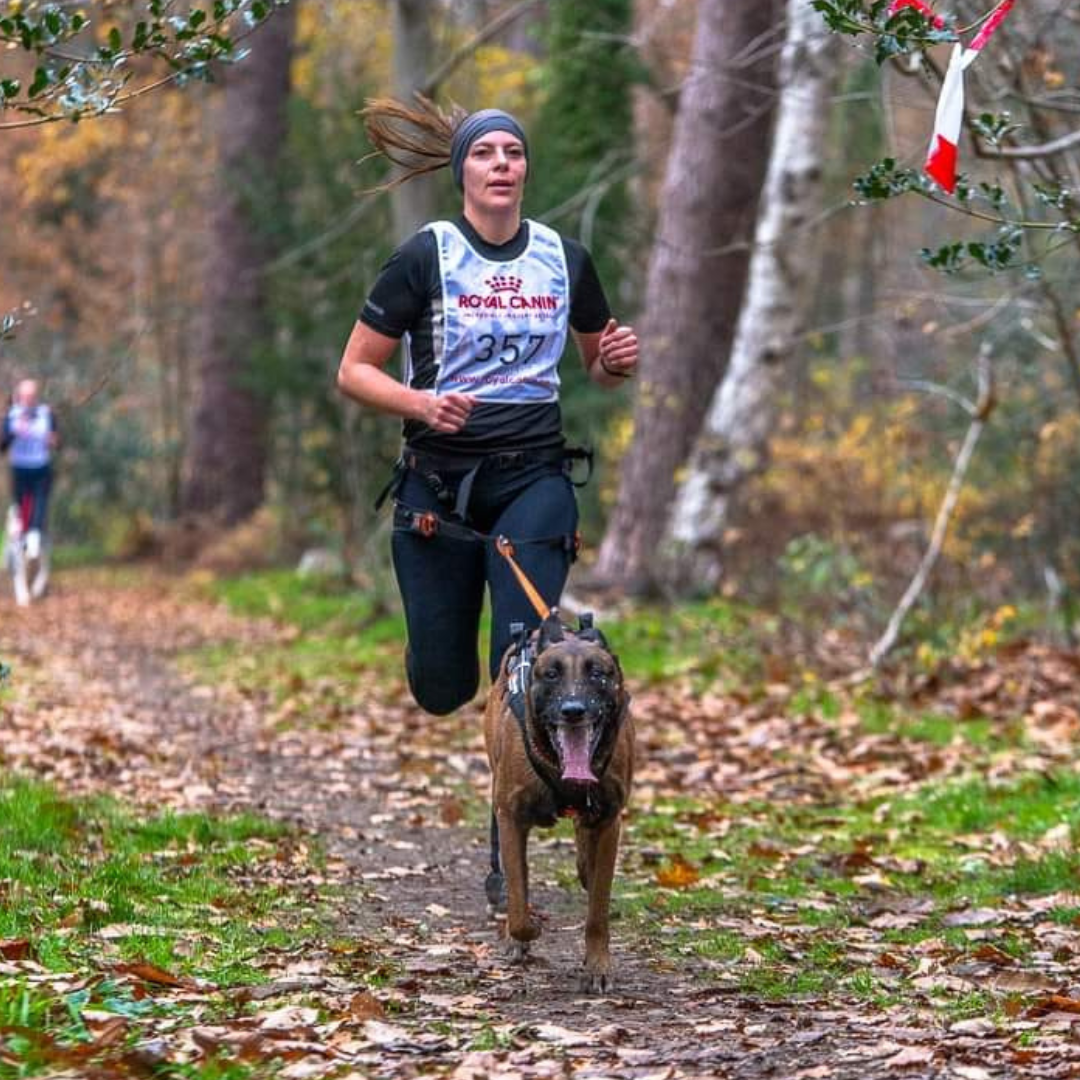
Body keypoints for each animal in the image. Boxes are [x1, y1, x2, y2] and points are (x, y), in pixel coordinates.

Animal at [483, 613, 630, 989]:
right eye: (551, 674)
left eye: (598, 673)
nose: (573, 710)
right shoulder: (511, 818)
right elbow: (518, 903)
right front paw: (523, 934)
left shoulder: (609, 821)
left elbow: (597, 909)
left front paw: (597, 966)